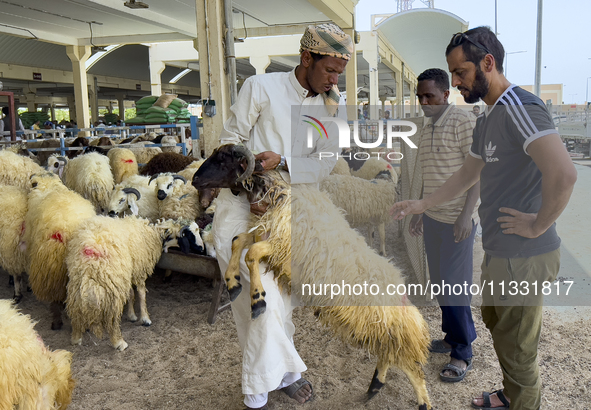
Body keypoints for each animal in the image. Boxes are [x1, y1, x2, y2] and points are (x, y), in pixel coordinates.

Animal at [65, 215, 205, 350]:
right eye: (190, 235)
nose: (202, 249)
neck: (155, 233)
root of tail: (90, 255)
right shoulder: (139, 270)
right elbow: (141, 294)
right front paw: (145, 319)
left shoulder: (130, 271)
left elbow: (131, 293)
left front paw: (132, 315)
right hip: (112, 282)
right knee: (113, 317)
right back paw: (119, 343)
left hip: (78, 280)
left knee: (75, 307)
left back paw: (76, 338)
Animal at [194, 145, 430, 410]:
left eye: (223, 159)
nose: (194, 180)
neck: (277, 193)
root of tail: (402, 294)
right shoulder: (265, 233)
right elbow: (238, 242)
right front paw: (233, 283)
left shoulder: (280, 244)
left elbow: (251, 254)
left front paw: (258, 300)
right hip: (374, 328)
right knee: (389, 353)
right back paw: (375, 386)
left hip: (381, 325)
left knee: (411, 366)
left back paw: (422, 402)